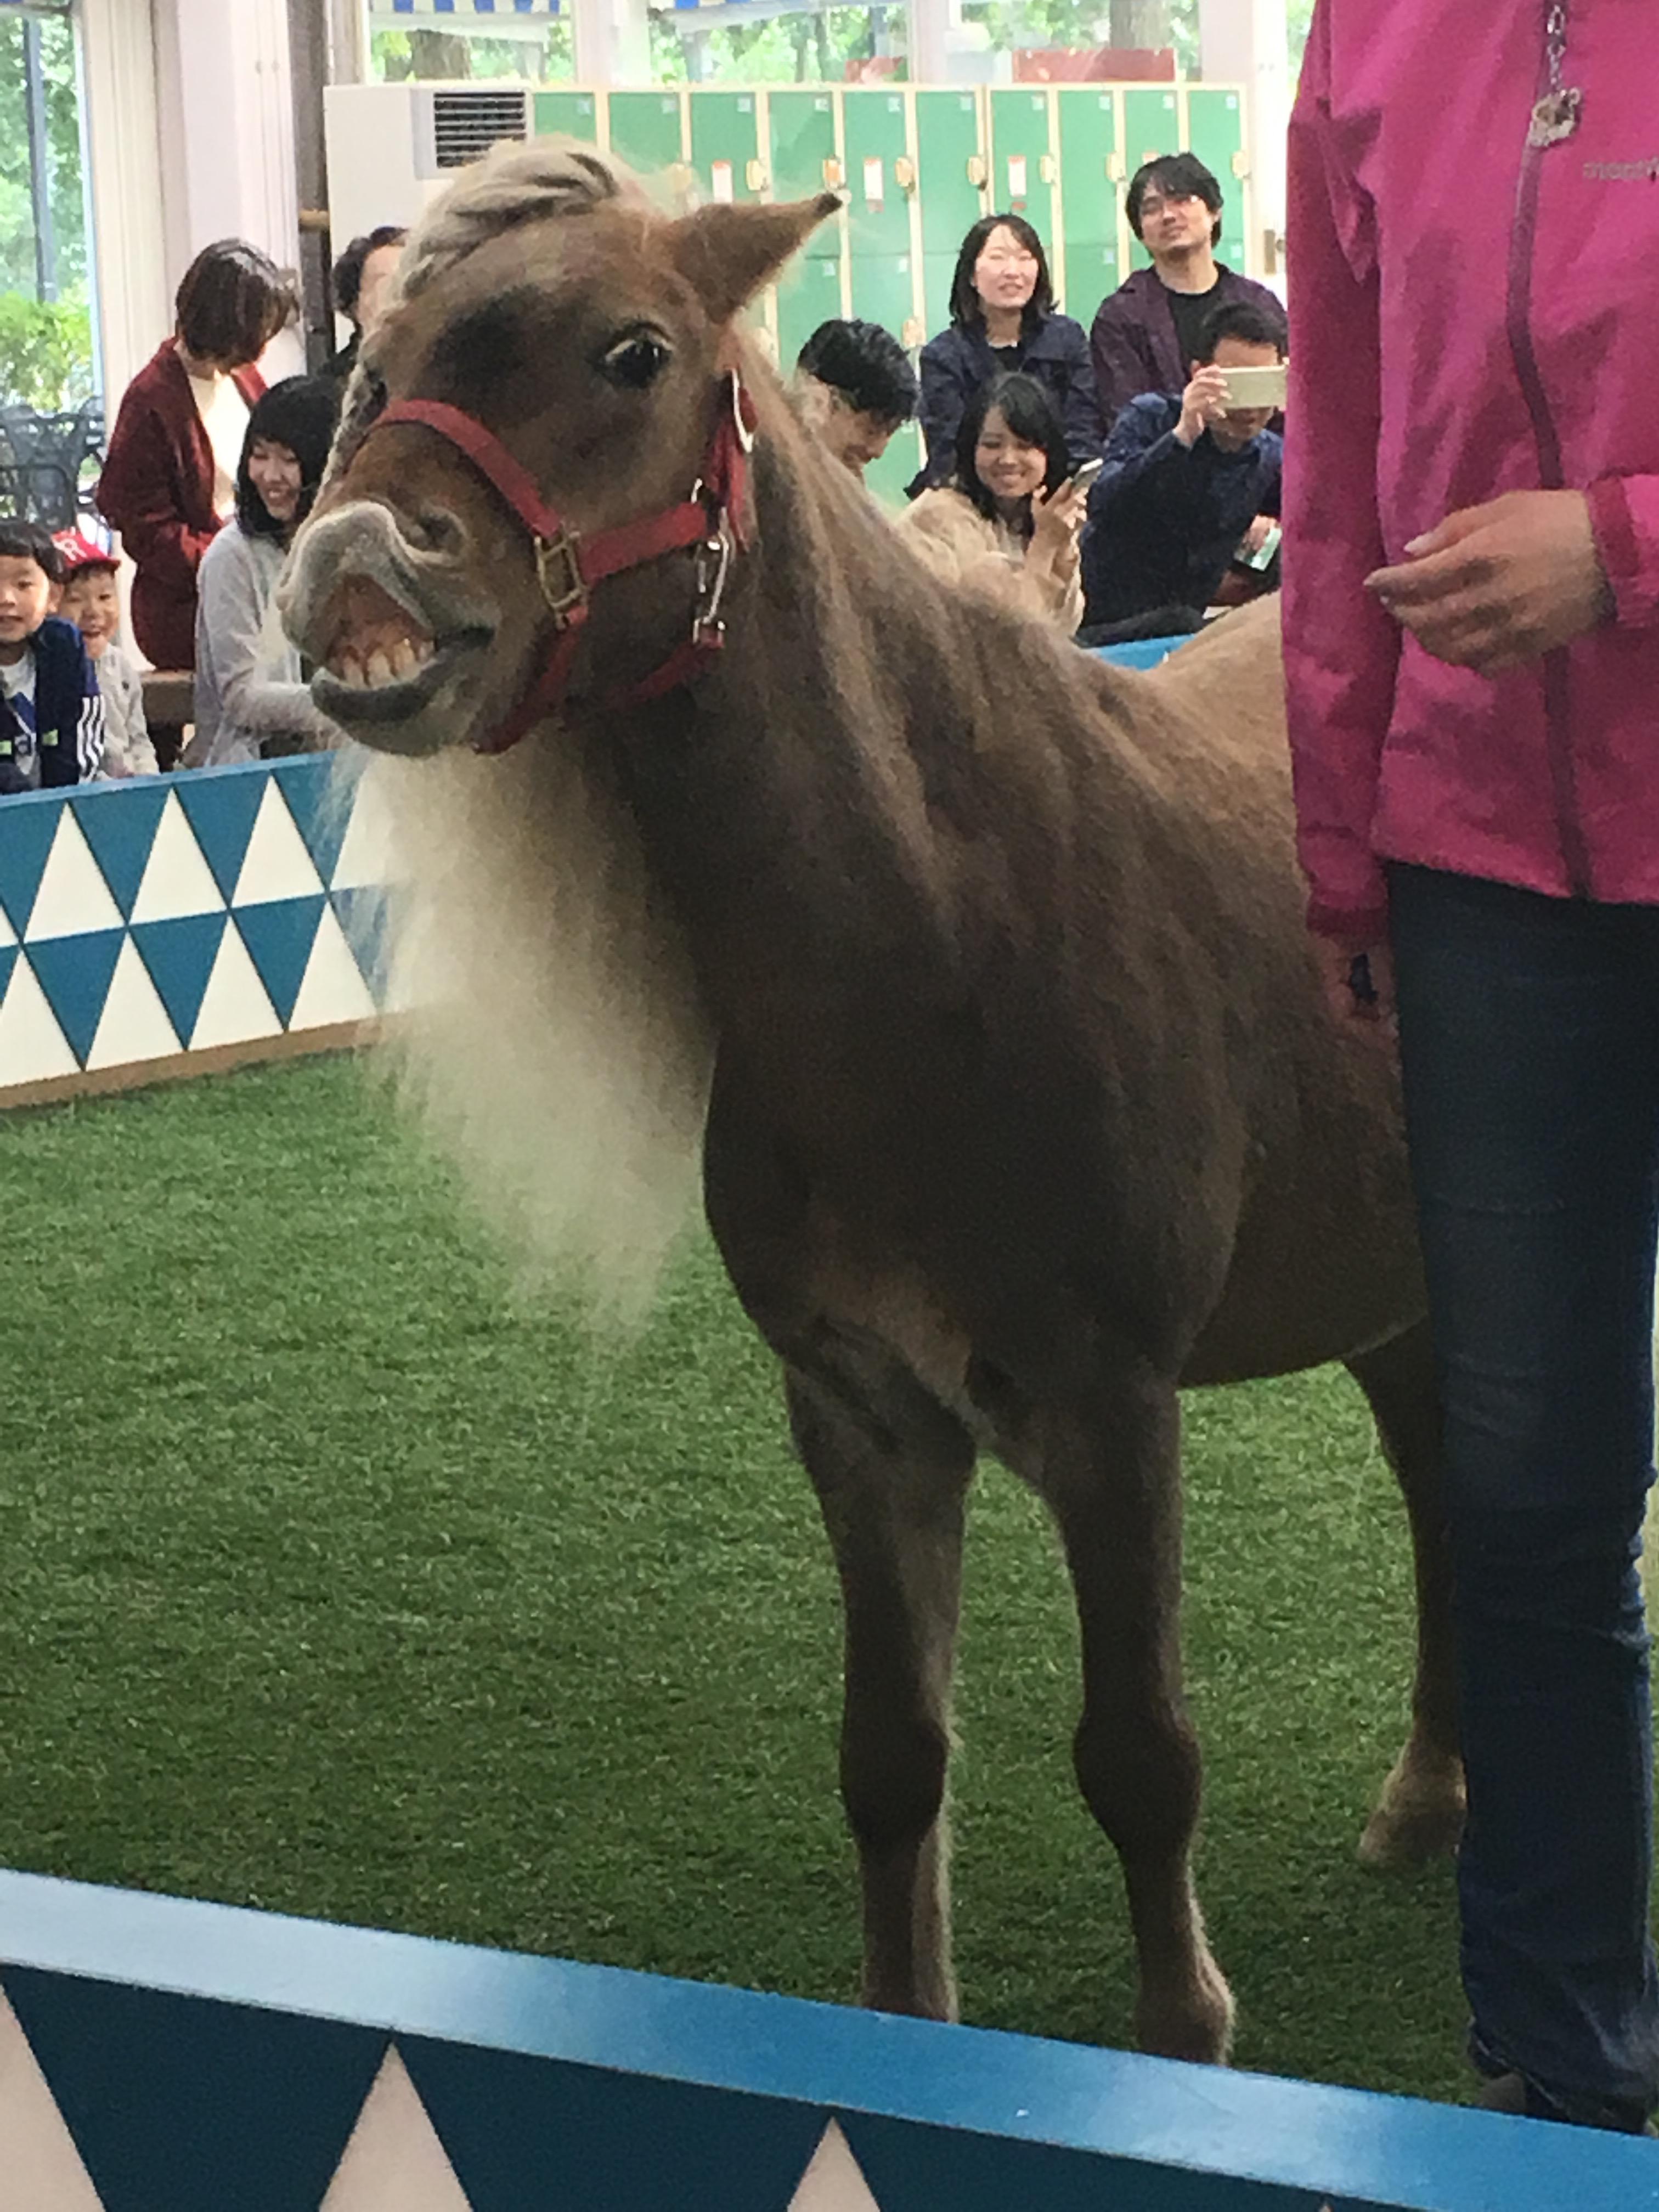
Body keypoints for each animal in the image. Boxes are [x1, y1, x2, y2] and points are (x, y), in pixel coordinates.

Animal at [281, 141, 1464, 2065]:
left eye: (633, 352)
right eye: (380, 359)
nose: (349, 569)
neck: (940, 935)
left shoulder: (1112, 1409)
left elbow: (1142, 1762)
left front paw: (1185, 2038)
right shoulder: (860, 1412)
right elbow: (892, 1760)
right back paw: (1433, 1794)